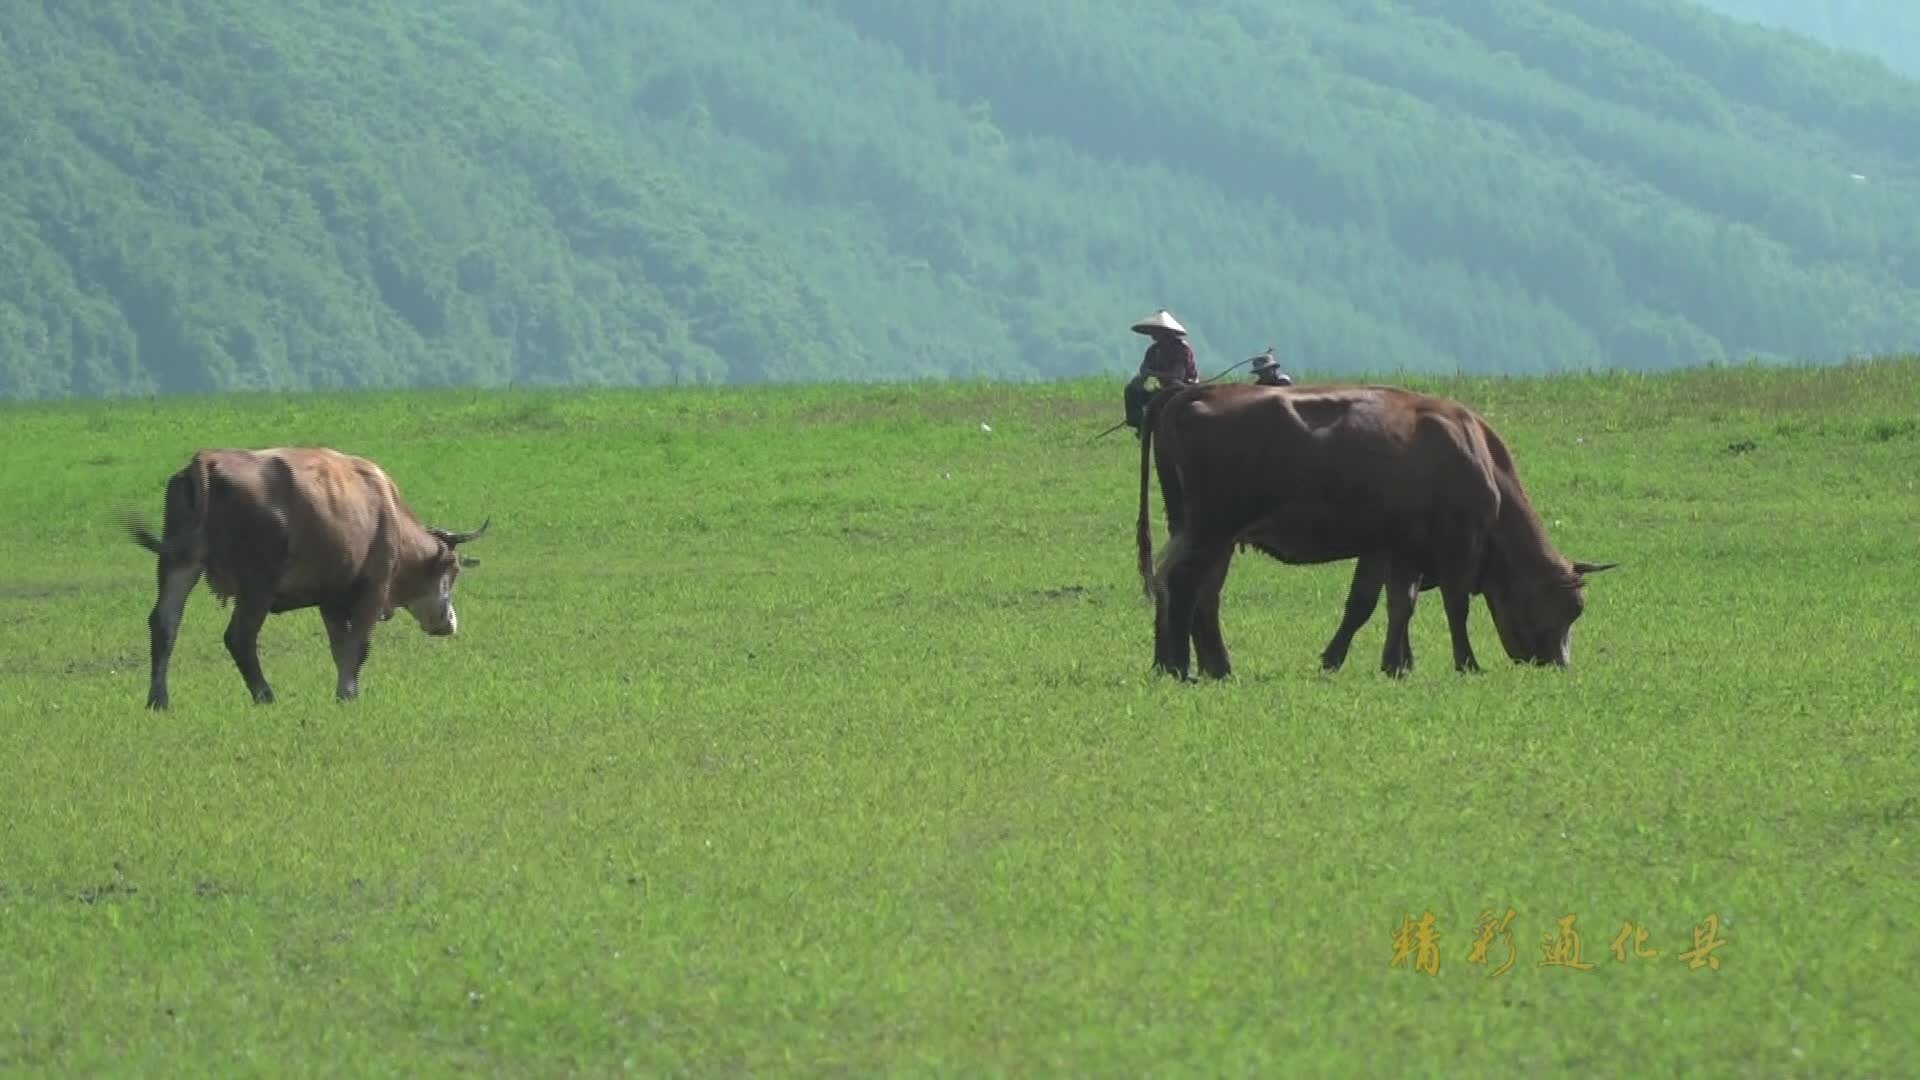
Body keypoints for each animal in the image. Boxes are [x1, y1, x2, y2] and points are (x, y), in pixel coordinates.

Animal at [124, 445, 491, 707]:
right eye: (453, 571)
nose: (450, 623)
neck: (387, 510)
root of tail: (207, 460)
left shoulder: (330, 598)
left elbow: (340, 647)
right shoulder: (373, 591)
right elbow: (358, 644)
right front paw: (347, 694)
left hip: (178, 565)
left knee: (165, 624)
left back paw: (159, 700)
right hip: (256, 585)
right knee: (239, 637)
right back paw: (265, 695)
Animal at [1128, 382, 1612, 676]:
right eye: (1570, 610)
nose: (1559, 665)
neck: (1476, 453)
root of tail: (1196, 390)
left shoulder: (1393, 549)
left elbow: (1387, 605)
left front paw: (1393, 664)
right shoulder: (1457, 545)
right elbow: (1453, 606)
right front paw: (1466, 663)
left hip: (1210, 535)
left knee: (1199, 593)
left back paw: (1211, 667)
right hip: (1210, 530)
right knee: (1184, 585)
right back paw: (1181, 668)